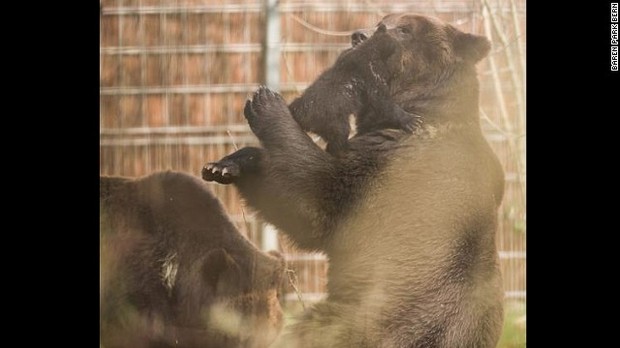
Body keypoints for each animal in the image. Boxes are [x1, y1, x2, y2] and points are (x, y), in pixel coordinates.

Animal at [203, 12, 504, 348]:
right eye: (383, 18)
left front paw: (266, 104)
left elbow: (318, 199)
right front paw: (224, 166)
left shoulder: (392, 169)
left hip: (373, 317)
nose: (358, 35)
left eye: (404, 28)